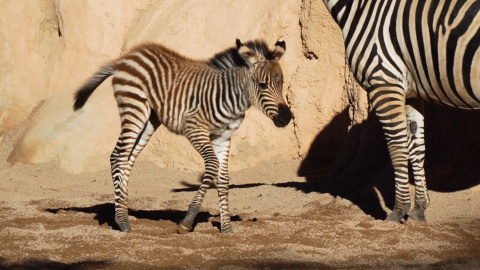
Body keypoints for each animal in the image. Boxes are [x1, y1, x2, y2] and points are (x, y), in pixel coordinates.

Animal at [73, 39, 290, 233]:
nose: (287, 118)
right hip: (134, 108)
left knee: (127, 159)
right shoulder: (195, 130)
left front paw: (226, 228)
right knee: (117, 156)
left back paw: (124, 211)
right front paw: (187, 221)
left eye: (282, 83)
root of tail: (126, 57)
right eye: (262, 85)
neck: (231, 98)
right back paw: (122, 221)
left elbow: (223, 180)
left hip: (150, 120)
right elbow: (212, 167)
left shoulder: (223, 138)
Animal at [322, 0, 480, 223]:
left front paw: (398, 212)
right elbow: (417, 148)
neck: (361, 7)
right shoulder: (411, 92)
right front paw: (419, 208)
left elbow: (397, 149)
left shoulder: (384, 81)